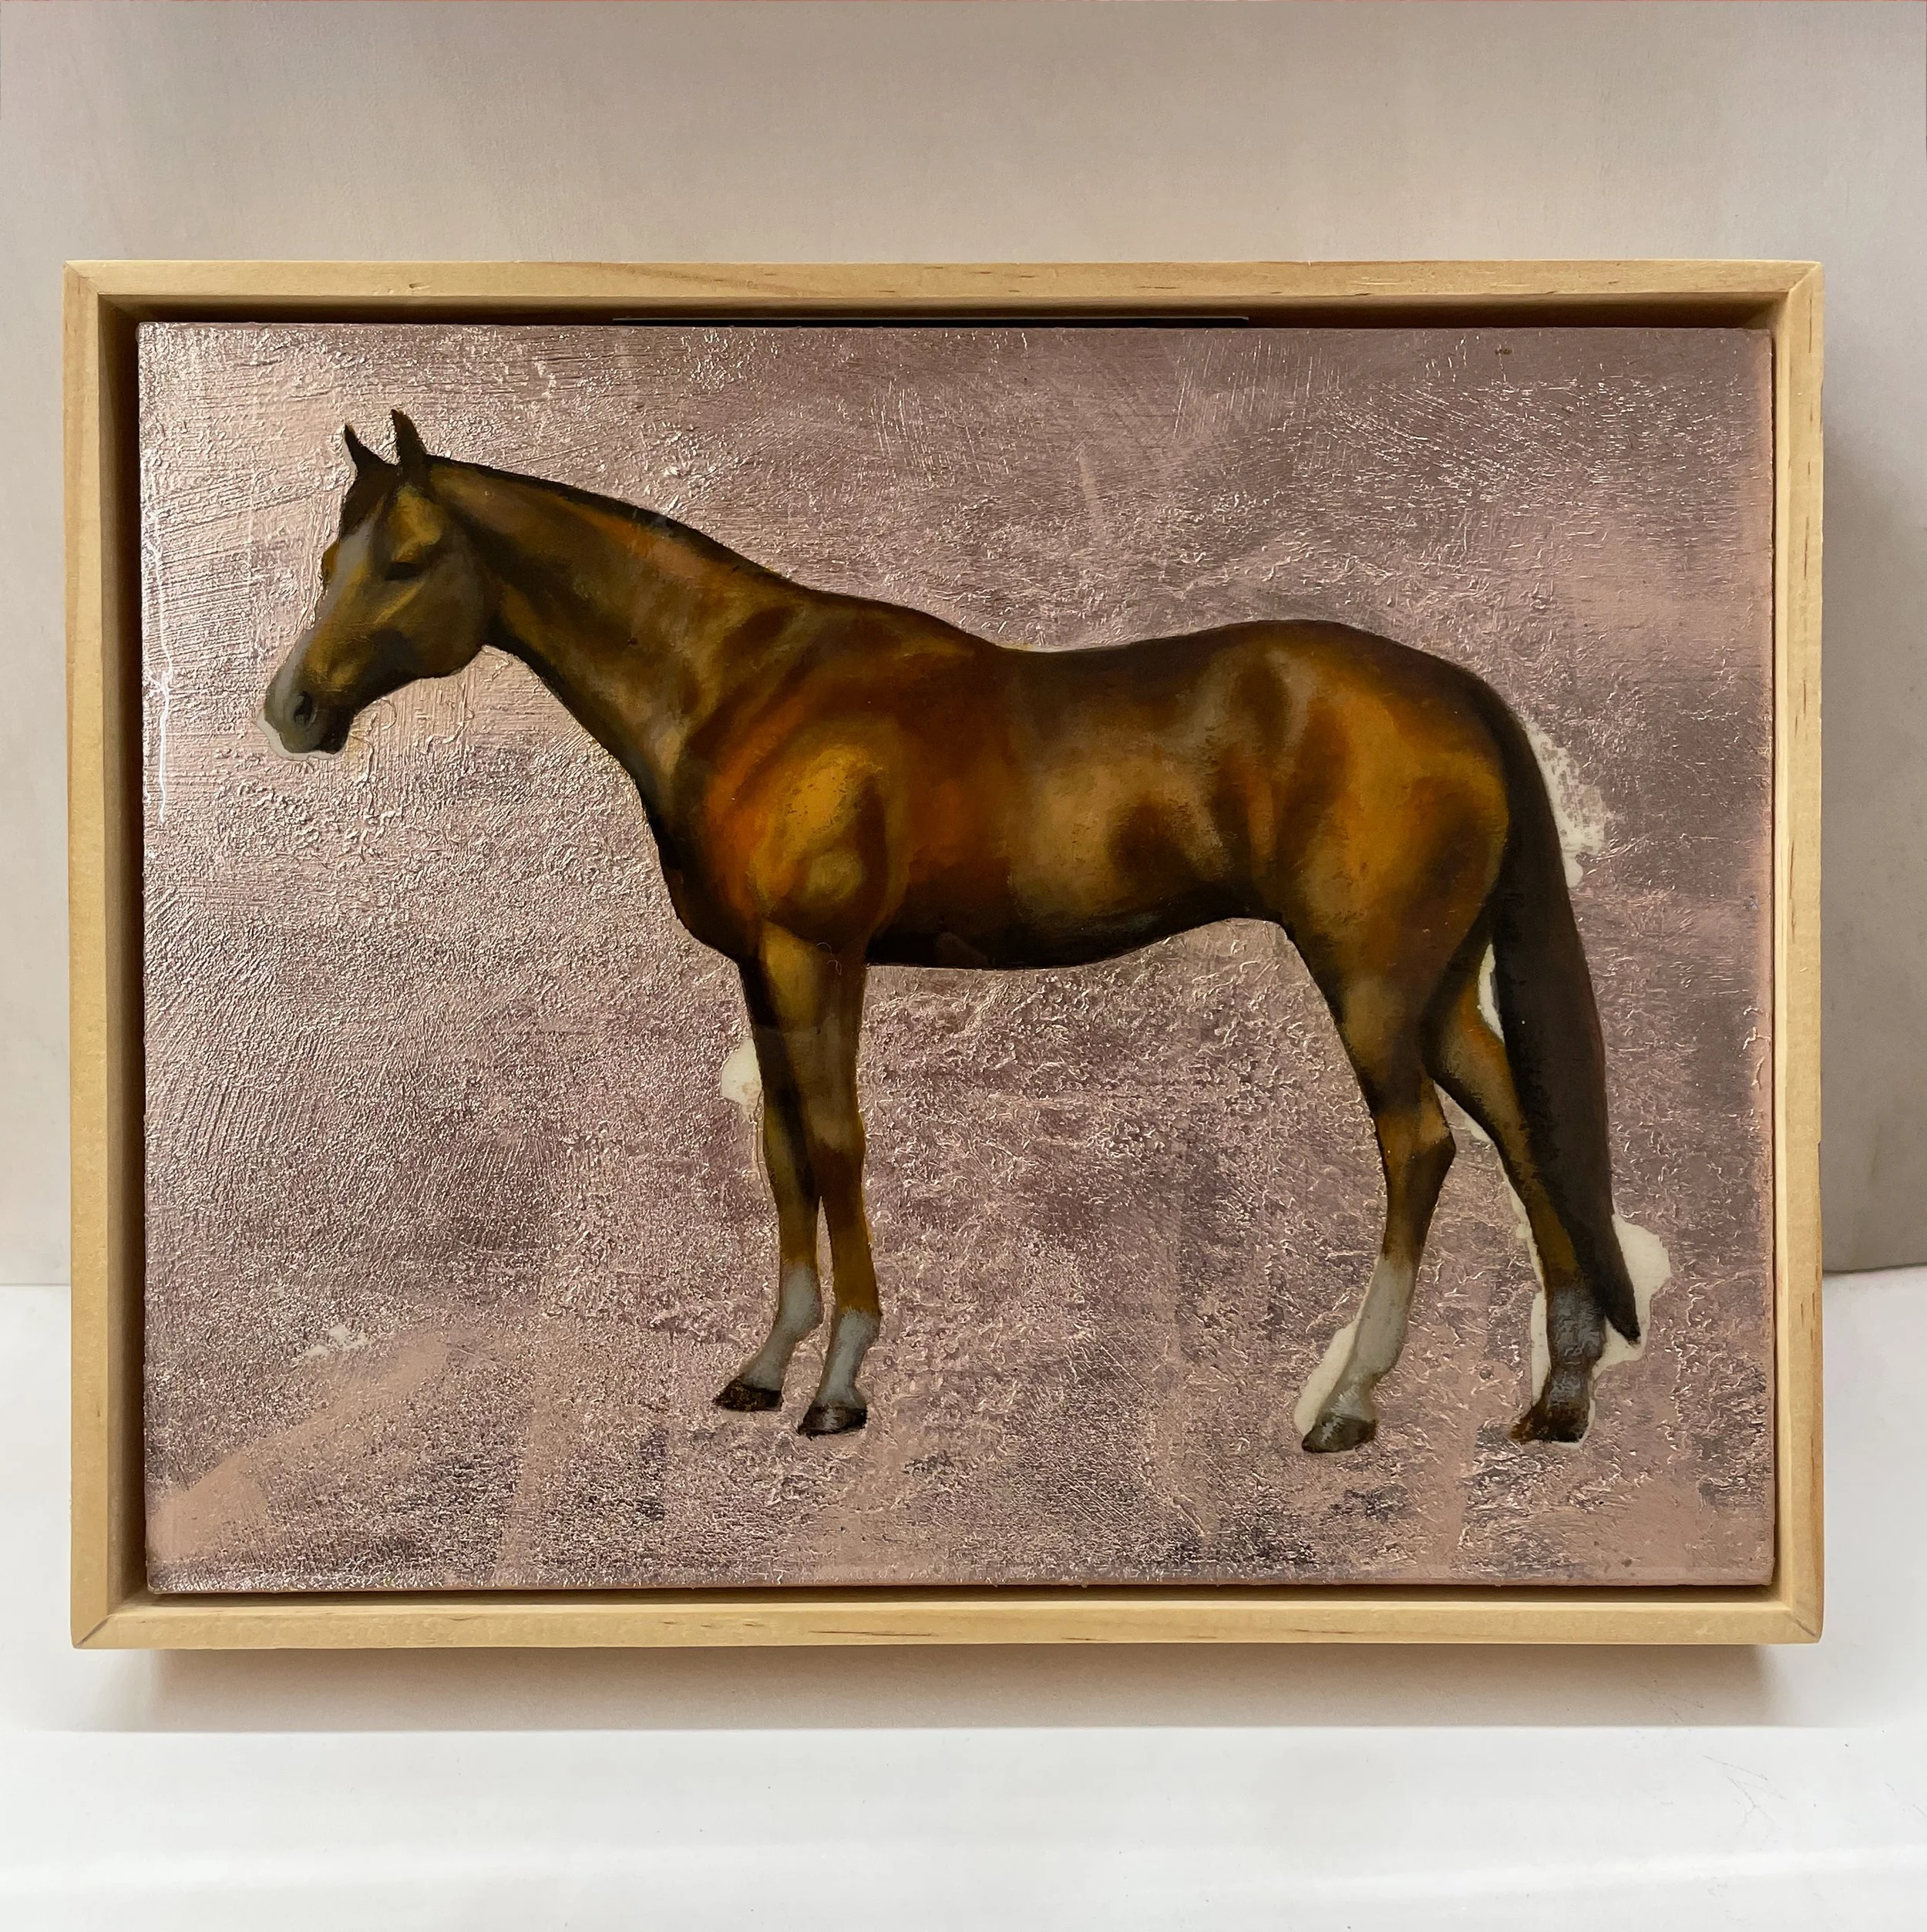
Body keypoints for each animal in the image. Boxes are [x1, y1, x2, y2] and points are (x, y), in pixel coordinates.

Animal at [264, 410, 1641, 1449]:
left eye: (404, 560)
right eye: (331, 560)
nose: (293, 707)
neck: (744, 689)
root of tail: (1452, 687)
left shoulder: (817, 954)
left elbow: (836, 1146)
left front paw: (839, 1384)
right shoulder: (761, 973)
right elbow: (779, 1152)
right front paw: (764, 1366)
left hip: (1369, 986)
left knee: (1421, 1148)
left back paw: (1350, 1400)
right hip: (1436, 987)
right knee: (1524, 1133)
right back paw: (1559, 1396)